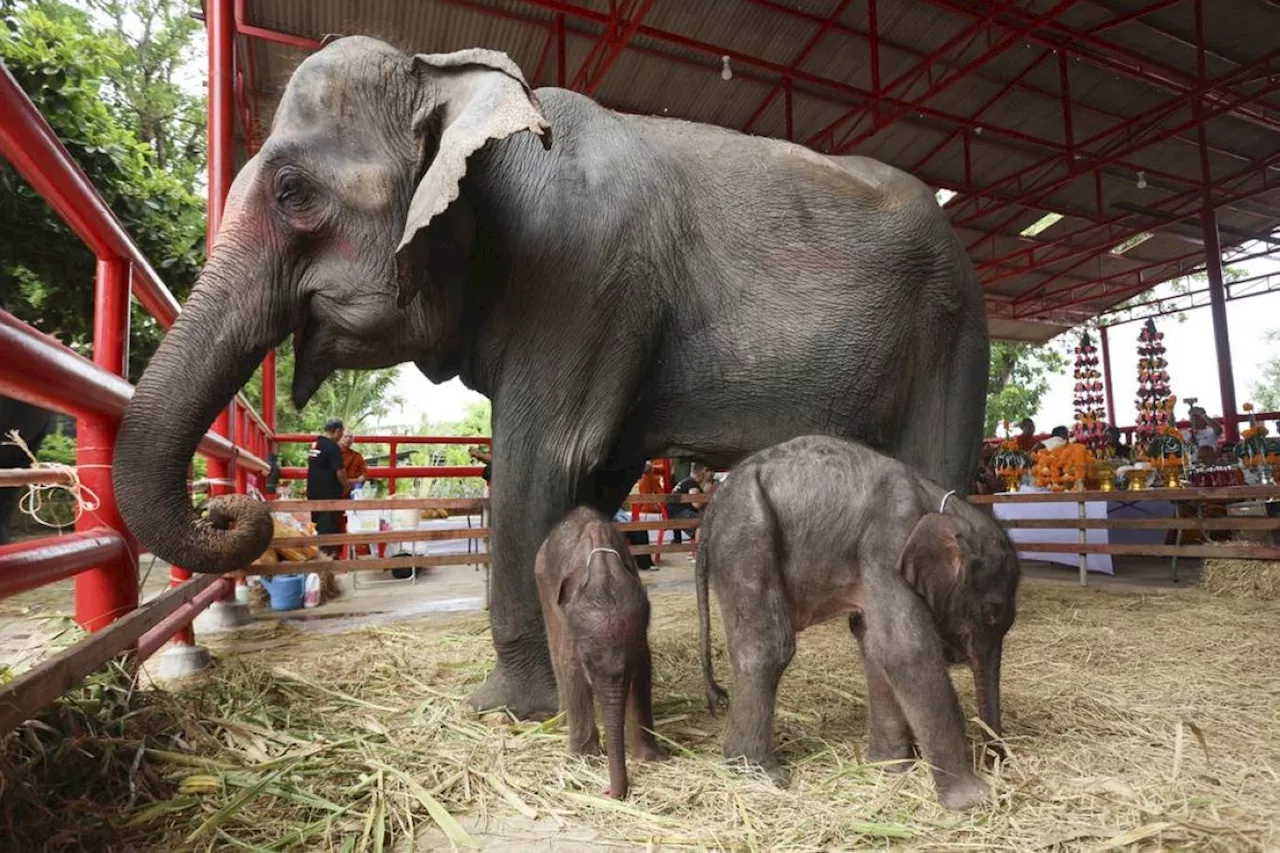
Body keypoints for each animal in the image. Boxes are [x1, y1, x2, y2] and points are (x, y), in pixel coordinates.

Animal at [112, 39, 988, 717]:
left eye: (293, 192)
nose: (233, 506)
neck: (454, 82)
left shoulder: (579, 278)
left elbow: (543, 462)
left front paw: (505, 708)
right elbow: (590, 480)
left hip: (953, 327)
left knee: (938, 473)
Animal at [696, 435, 1024, 809]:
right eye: (991, 612)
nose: (997, 761)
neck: (943, 505)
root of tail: (713, 505)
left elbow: (872, 643)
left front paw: (889, 768)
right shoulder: (887, 542)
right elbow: (904, 649)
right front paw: (977, 800)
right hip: (746, 535)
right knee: (768, 646)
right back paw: (759, 775)